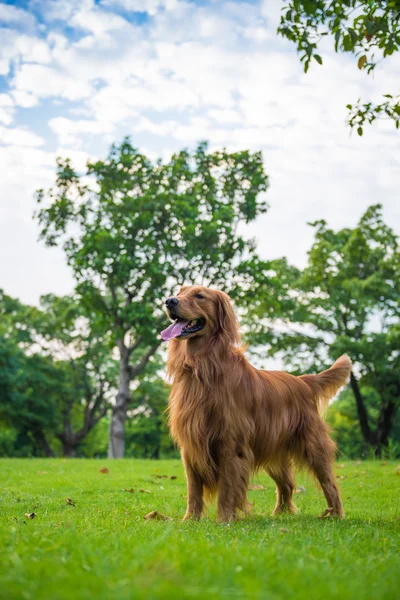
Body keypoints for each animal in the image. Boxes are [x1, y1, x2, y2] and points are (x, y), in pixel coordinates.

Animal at [161, 286, 352, 520]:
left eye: (199, 295)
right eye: (180, 291)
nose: (169, 301)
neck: (202, 368)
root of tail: (303, 381)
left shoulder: (231, 443)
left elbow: (227, 487)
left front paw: (225, 519)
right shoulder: (190, 443)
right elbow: (193, 489)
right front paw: (190, 520)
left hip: (313, 445)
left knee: (329, 483)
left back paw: (336, 515)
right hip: (273, 448)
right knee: (286, 484)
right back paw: (280, 514)